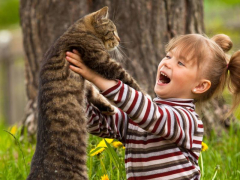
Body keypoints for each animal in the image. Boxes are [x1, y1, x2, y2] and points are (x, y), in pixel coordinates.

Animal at [26, 6, 142, 179]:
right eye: (112, 31)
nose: (120, 40)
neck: (79, 30)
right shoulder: (103, 61)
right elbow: (128, 79)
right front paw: (147, 96)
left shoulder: (87, 82)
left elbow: (94, 92)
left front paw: (108, 107)